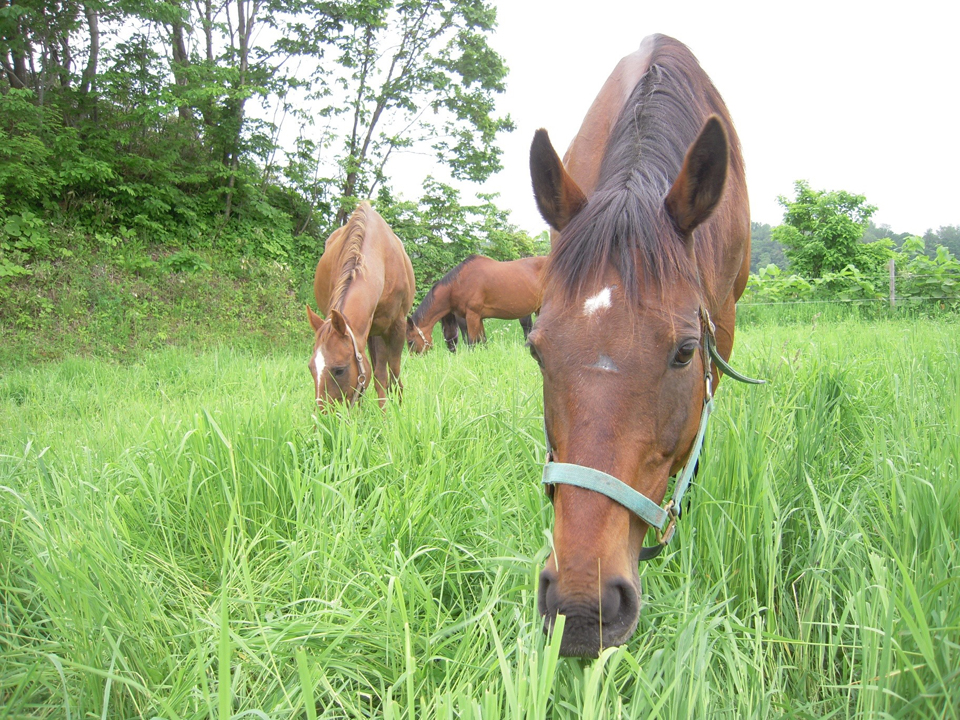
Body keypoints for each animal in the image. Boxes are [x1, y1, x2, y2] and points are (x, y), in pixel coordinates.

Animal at [308, 200, 412, 408]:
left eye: (339, 369)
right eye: (311, 368)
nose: (323, 416)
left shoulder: (396, 326)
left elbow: (392, 373)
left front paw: (395, 409)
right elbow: (374, 375)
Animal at [402, 255, 544, 352]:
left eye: (410, 342)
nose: (415, 359)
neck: (458, 283)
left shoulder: (472, 316)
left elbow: (472, 342)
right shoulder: (478, 318)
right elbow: (483, 340)